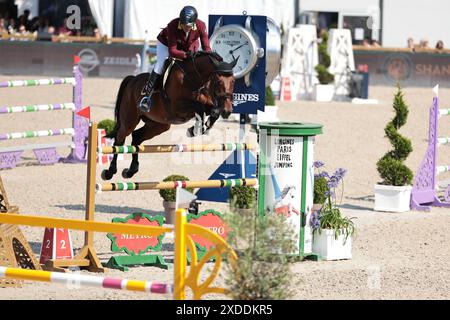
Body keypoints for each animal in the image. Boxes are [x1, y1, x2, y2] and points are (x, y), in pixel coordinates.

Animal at [100, 50, 237, 180]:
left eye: (233, 81)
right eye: (218, 81)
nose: (228, 110)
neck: (194, 79)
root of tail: (132, 80)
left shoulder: (206, 104)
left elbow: (213, 111)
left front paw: (199, 127)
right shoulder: (177, 107)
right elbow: (199, 108)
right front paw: (195, 129)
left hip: (158, 125)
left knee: (137, 136)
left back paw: (130, 171)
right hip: (129, 120)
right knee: (120, 139)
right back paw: (110, 171)